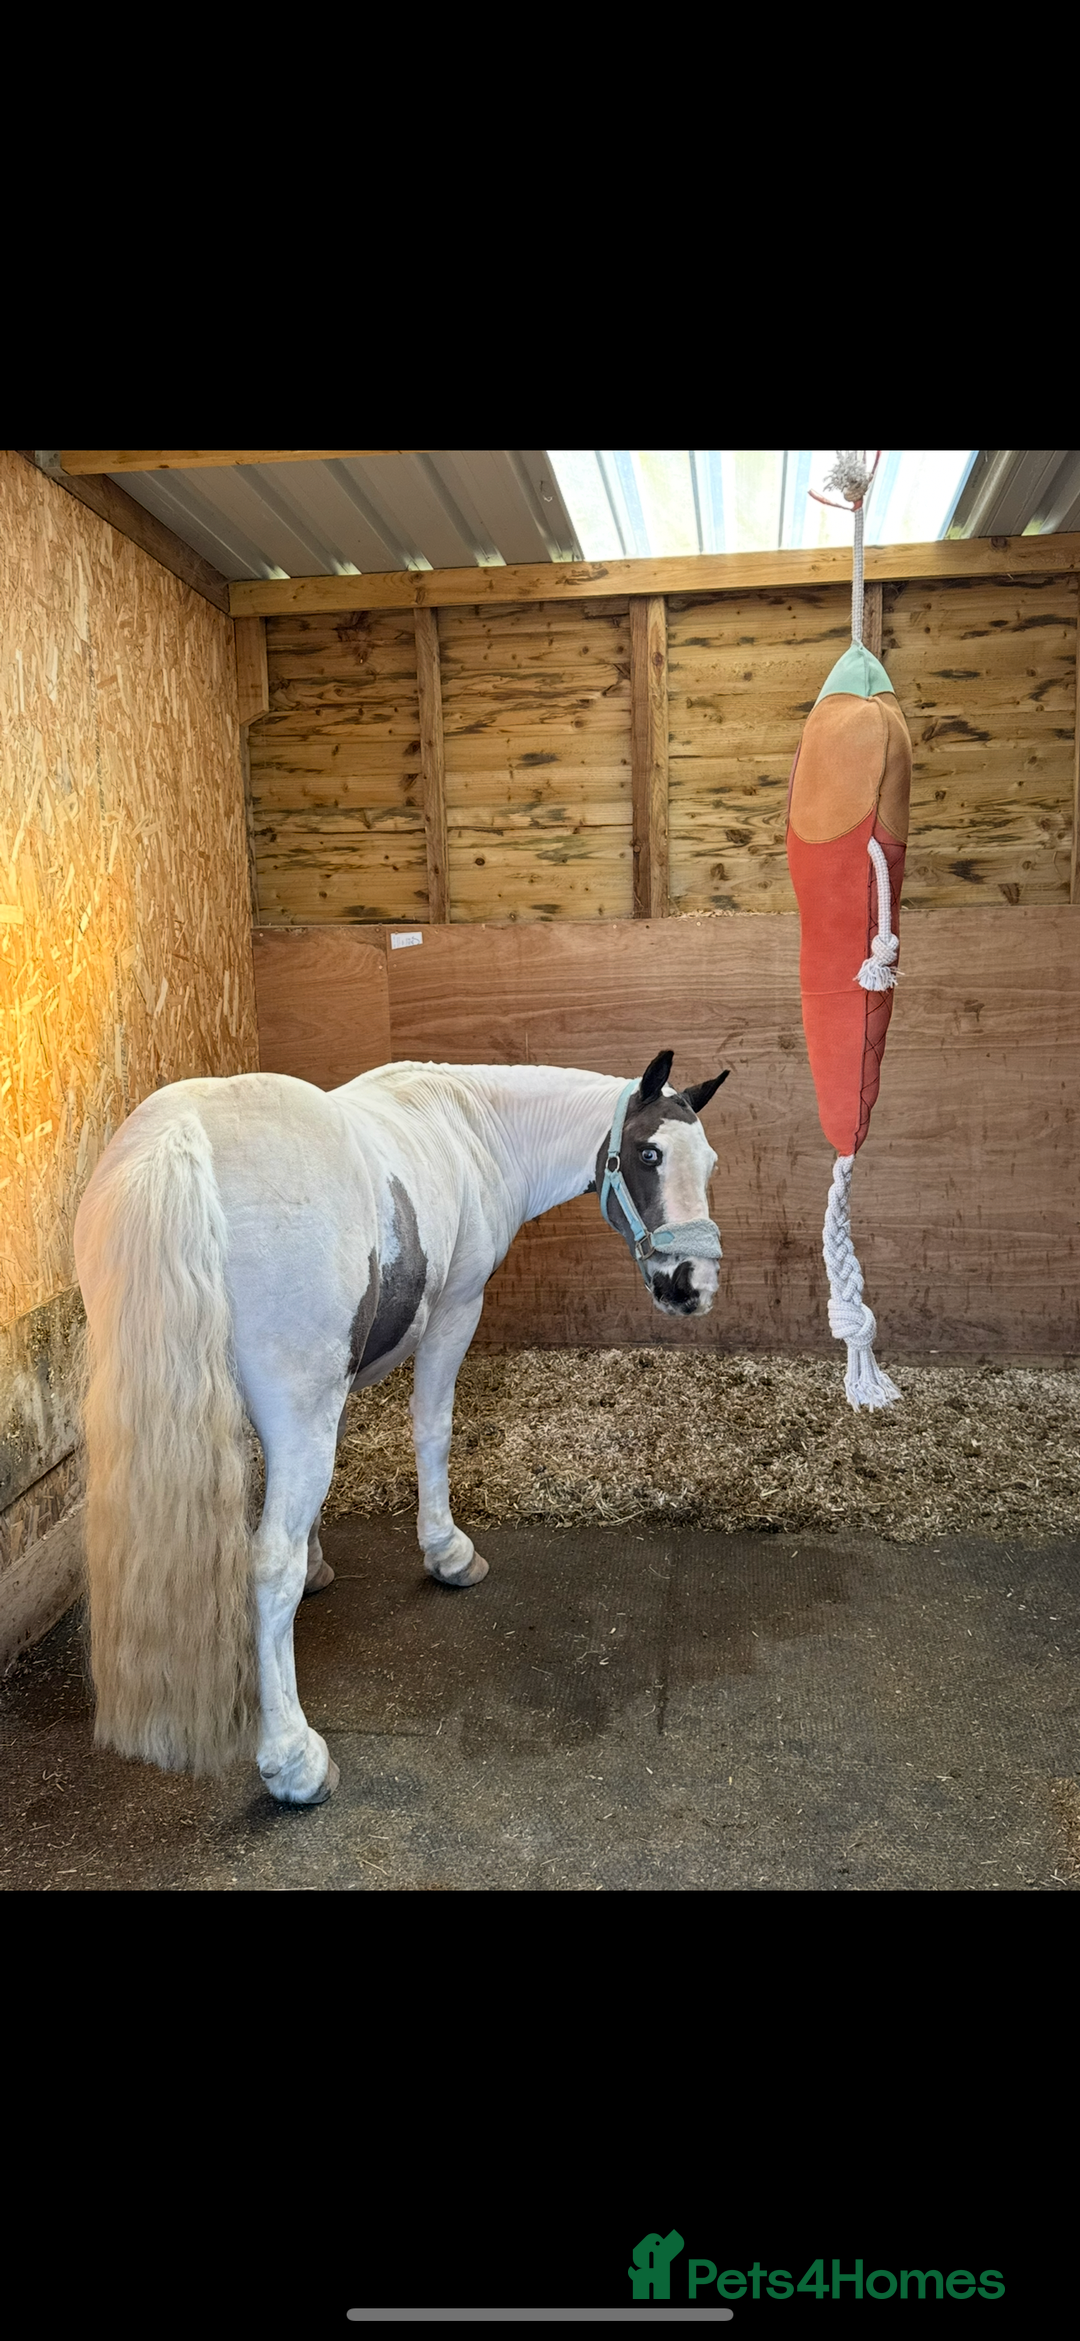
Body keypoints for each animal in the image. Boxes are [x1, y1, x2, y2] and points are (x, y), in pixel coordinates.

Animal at [73, 1046, 729, 1806]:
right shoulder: (455, 1311)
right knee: (267, 1565)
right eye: (649, 1153)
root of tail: (181, 1142)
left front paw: (321, 1561)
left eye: (709, 1162)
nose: (691, 1284)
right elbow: (432, 1428)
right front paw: (446, 1552)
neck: (472, 1124)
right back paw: (294, 1760)